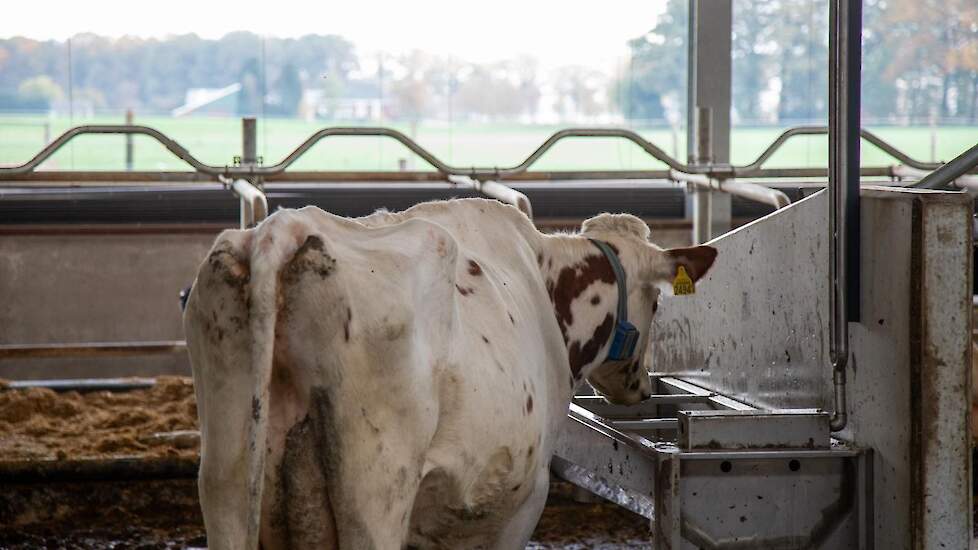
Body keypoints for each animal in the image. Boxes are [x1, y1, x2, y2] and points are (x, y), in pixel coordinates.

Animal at [183, 199, 716, 550]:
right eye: (657, 303)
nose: (639, 386)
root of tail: (284, 227)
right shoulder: (524, 499)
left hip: (227, 475)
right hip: (375, 494)